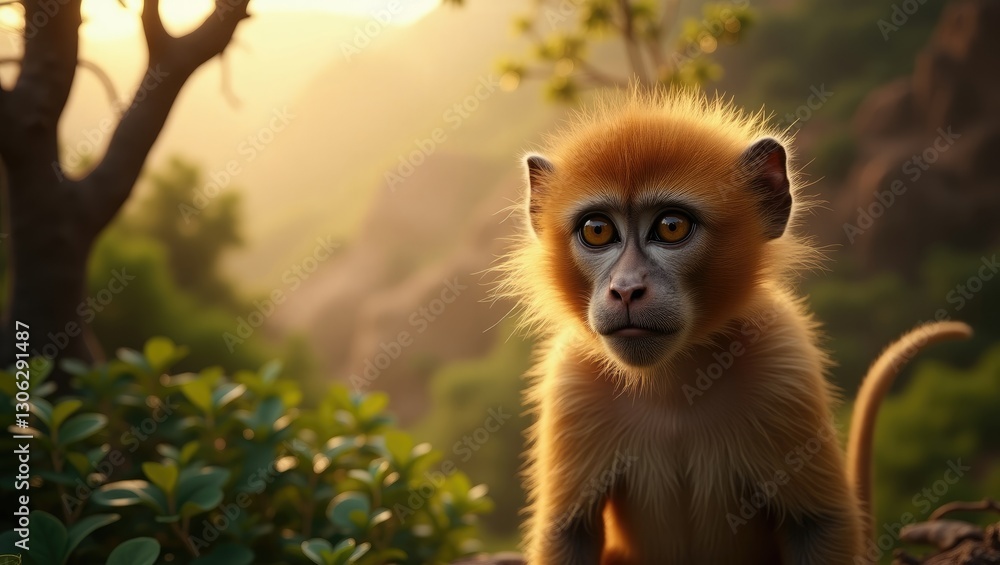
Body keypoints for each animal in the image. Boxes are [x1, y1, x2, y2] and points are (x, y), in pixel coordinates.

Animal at [495, 89, 973, 564]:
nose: (626, 290)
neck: (676, 381)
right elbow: (569, 531)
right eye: (596, 230)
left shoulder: (783, 362)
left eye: (671, 227)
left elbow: (818, 523)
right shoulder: (572, 381)